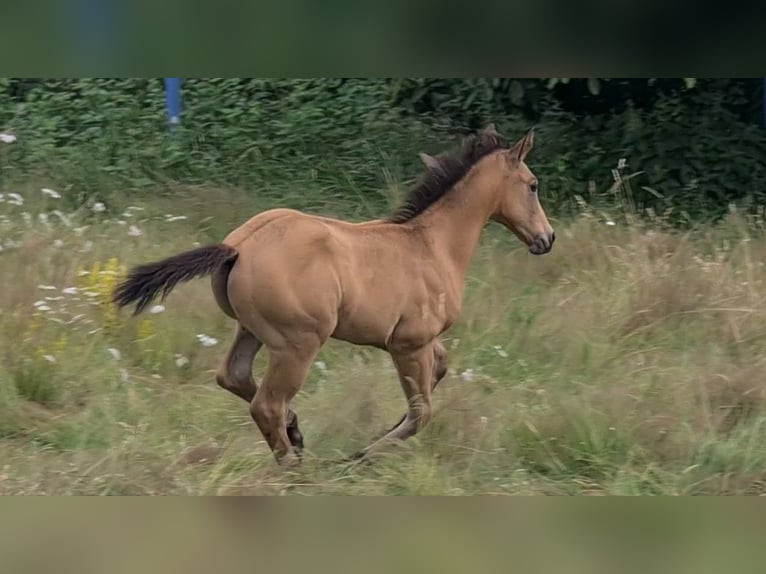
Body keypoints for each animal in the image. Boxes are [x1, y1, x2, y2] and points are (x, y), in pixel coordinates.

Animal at [112, 126, 560, 468]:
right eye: (533, 185)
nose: (547, 238)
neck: (431, 244)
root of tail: (238, 247)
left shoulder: (422, 341)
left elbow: (439, 373)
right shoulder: (409, 343)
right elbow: (422, 411)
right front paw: (361, 456)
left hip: (252, 331)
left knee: (235, 377)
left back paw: (296, 432)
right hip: (298, 344)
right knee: (266, 404)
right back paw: (295, 466)